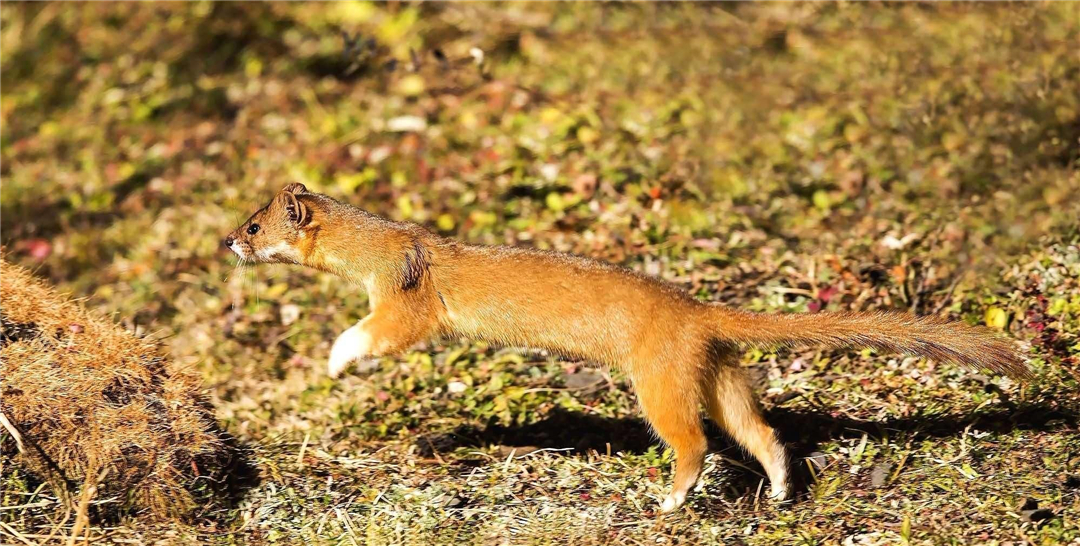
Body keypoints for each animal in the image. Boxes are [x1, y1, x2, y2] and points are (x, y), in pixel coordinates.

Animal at [225, 183, 1028, 511]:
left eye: (255, 224)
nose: (227, 241)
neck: (385, 242)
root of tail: (697, 309)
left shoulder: (406, 293)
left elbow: (384, 330)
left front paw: (336, 358)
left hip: (658, 377)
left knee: (693, 442)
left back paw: (671, 500)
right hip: (717, 370)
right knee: (759, 430)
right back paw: (778, 487)